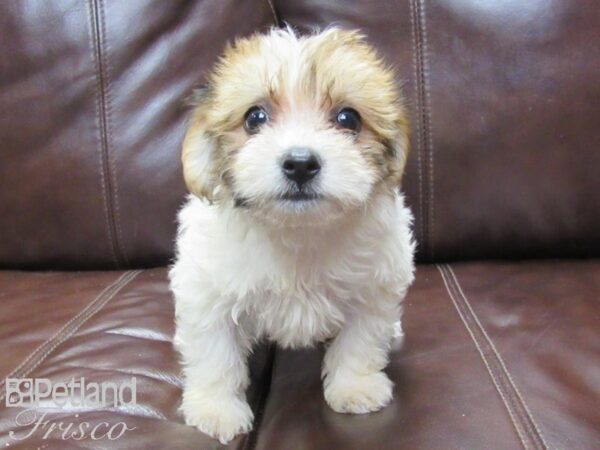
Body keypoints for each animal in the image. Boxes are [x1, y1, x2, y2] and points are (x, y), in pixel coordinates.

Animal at [169, 27, 412, 442]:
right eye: (255, 117)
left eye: (348, 118)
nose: (300, 163)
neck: (298, 229)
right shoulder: (206, 290)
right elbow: (215, 350)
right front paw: (216, 408)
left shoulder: (375, 284)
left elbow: (360, 338)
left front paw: (355, 386)